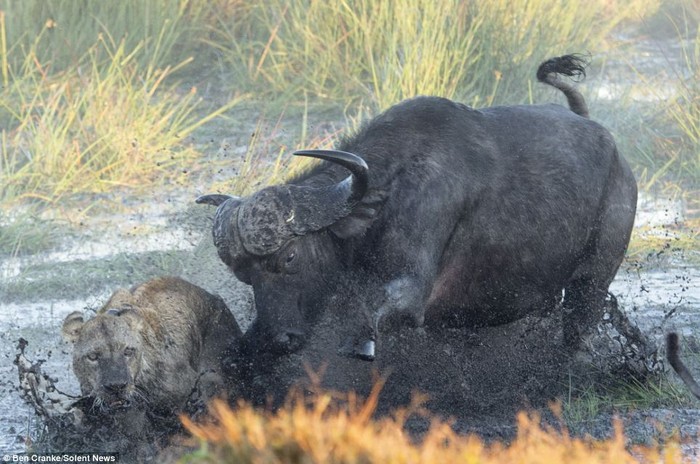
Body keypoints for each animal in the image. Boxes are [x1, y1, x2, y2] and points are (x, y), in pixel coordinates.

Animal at [198, 55, 640, 362]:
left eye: (290, 257)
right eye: (243, 275)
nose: (276, 340)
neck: (387, 191)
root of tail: (609, 145)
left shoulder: (413, 288)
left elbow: (380, 318)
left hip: (593, 279)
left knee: (580, 323)